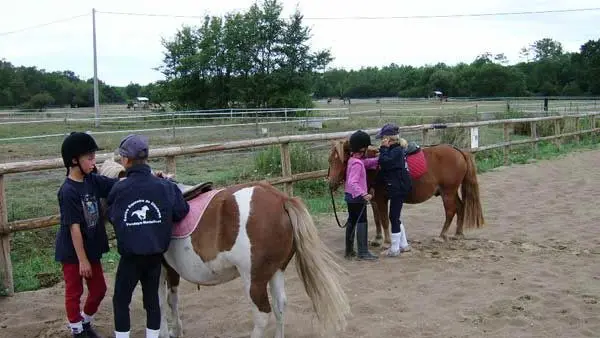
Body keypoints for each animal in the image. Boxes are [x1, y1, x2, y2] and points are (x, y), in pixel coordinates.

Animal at [98, 159, 352, 338]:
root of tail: (280, 200)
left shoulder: (157, 269)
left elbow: (157, 303)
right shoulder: (170, 270)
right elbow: (171, 301)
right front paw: (175, 330)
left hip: (253, 278)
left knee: (262, 315)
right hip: (276, 272)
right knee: (280, 307)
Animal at [326, 139, 486, 247]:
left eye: (342, 159)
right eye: (330, 160)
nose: (331, 183)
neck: (376, 168)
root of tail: (459, 151)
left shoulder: (382, 199)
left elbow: (384, 219)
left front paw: (386, 242)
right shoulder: (373, 200)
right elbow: (377, 219)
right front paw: (377, 239)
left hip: (448, 192)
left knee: (451, 211)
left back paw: (442, 236)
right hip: (450, 192)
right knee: (460, 207)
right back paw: (458, 234)